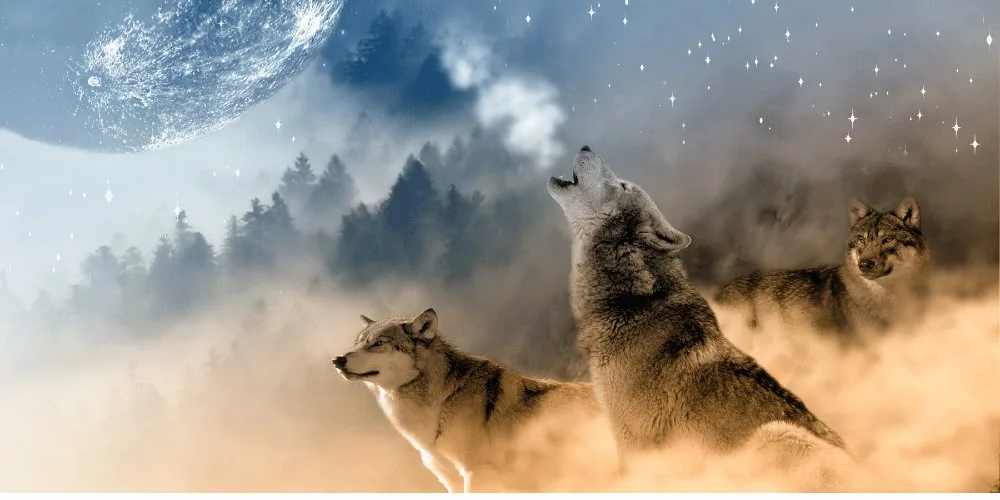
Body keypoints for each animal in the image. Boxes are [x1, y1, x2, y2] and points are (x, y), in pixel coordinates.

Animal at [332, 308, 605, 493]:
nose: (338, 360)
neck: (441, 403)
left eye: (378, 344)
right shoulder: (451, 480)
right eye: (357, 343)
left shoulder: (476, 474)